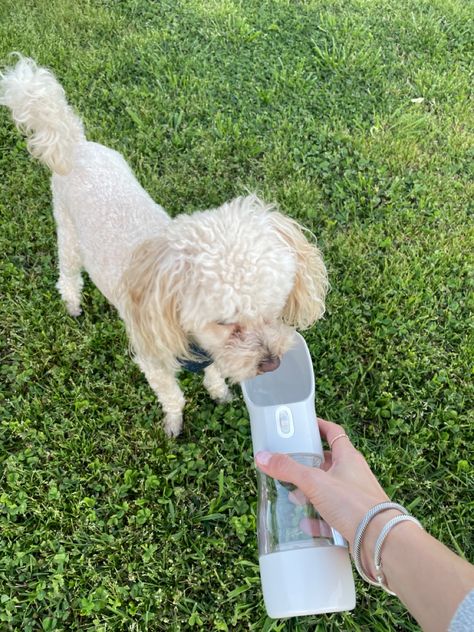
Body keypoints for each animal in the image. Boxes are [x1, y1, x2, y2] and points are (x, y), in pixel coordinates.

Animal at [0, 58, 328, 434]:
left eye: (275, 308)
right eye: (225, 322)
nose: (272, 364)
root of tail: (76, 146)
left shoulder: (212, 355)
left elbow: (214, 375)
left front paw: (219, 393)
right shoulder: (153, 359)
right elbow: (173, 396)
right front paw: (174, 423)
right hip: (67, 233)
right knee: (67, 275)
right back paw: (71, 303)